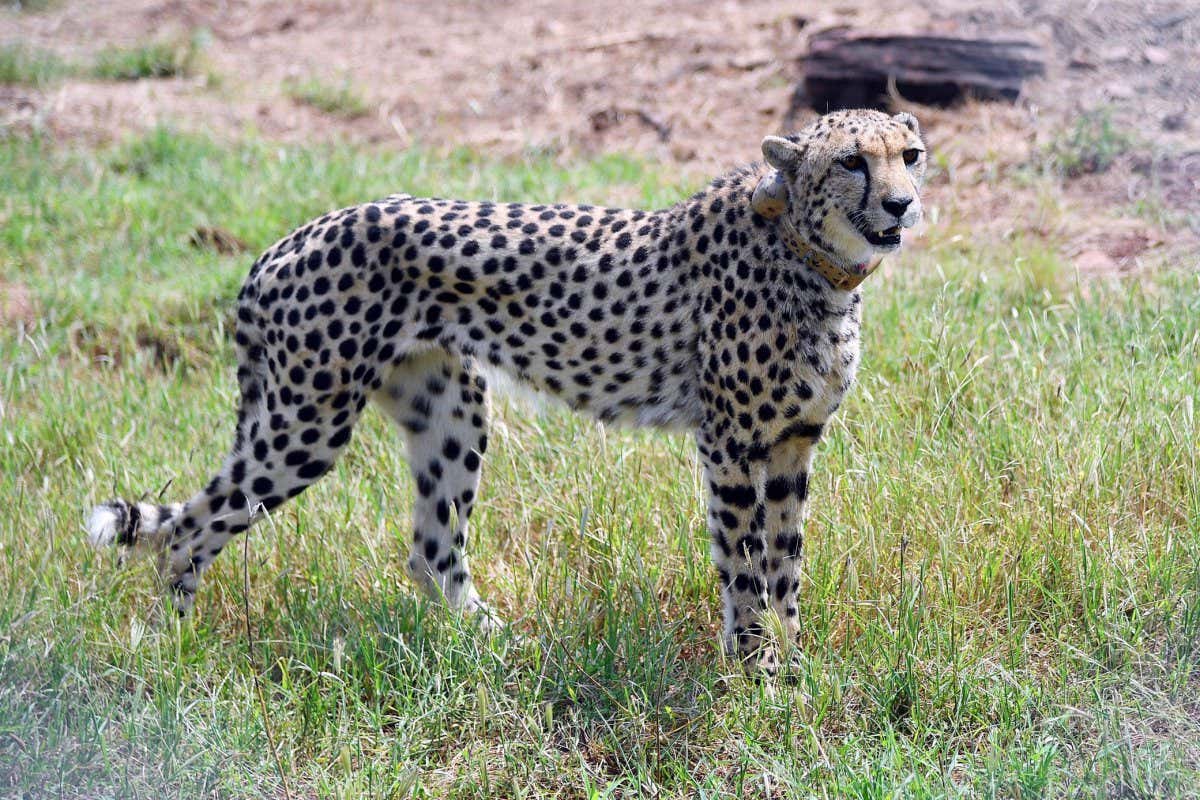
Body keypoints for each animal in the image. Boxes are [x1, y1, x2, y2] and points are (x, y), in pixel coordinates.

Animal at [86, 108, 927, 675]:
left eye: (911, 155)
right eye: (853, 161)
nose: (902, 204)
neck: (813, 258)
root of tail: (288, 240)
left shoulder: (791, 444)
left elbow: (786, 565)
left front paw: (794, 666)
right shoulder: (730, 445)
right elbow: (745, 567)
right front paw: (756, 671)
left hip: (450, 410)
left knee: (431, 550)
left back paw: (495, 646)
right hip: (307, 423)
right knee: (192, 527)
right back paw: (170, 646)